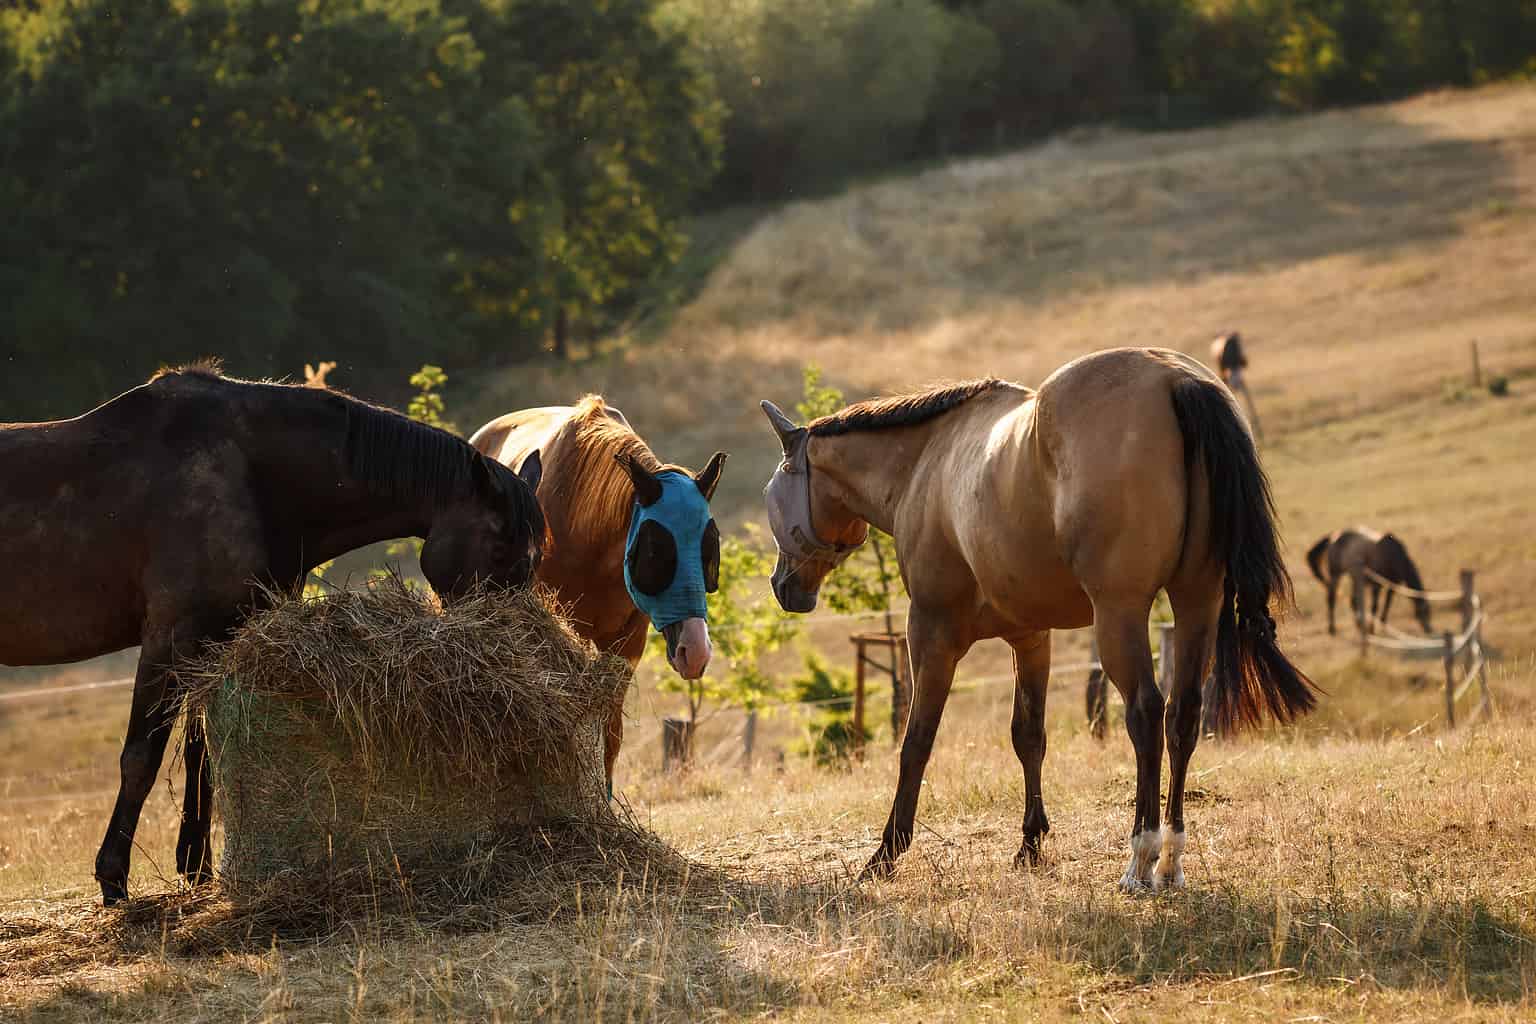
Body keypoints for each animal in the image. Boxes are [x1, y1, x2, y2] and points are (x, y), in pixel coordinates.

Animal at [0, 363, 546, 905]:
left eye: (534, 557)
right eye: (501, 548)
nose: (514, 647)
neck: (248, 474)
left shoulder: (217, 641)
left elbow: (204, 752)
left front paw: (197, 867)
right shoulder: (167, 639)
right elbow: (141, 757)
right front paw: (113, 879)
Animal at [758, 347, 1315, 891]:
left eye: (771, 496)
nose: (783, 586)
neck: (927, 463)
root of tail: (1176, 379)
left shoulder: (931, 634)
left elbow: (916, 740)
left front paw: (886, 854)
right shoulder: (1030, 638)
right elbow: (1029, 736)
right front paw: (1030, 843)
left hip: (1119, 616)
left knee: (1145, 714)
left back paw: (1141, 857)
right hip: (1196, 604)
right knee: (1182, 715)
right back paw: (1171, 859)